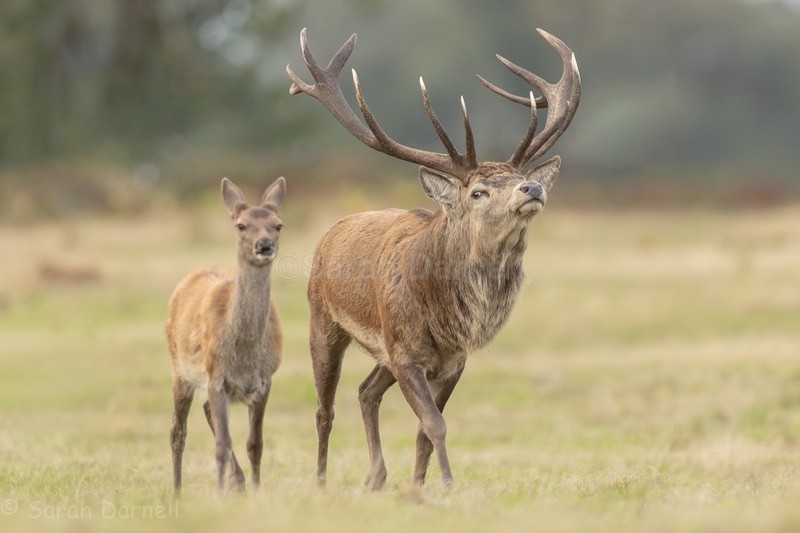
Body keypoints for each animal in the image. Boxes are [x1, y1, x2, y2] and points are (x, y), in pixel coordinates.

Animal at [165, 176, 286, 495]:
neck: (244, 353)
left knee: (206, 411)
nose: (264, 245)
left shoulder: (264, 380)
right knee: (177, 432)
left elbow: (255, 444)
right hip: (180, 370)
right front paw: (219, 495)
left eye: (278, 225)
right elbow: (221, 445)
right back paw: (177, 492)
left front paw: (257, 491)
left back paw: (238, 481)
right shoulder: (215, 376)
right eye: (241, 225)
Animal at [287, 27, 580, 490]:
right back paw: (319, 481)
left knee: (366, 391)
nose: (532, 189)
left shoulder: (452, 360)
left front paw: (422, 486)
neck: (446, 314)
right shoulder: (406, 352)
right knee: (324, 409)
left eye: (521, 178)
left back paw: (376, 477)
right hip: (324, 321)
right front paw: (448, 483)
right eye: (478, 191)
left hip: (383, 353)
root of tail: (330, 232)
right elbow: (435, 424)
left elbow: (426, 428)